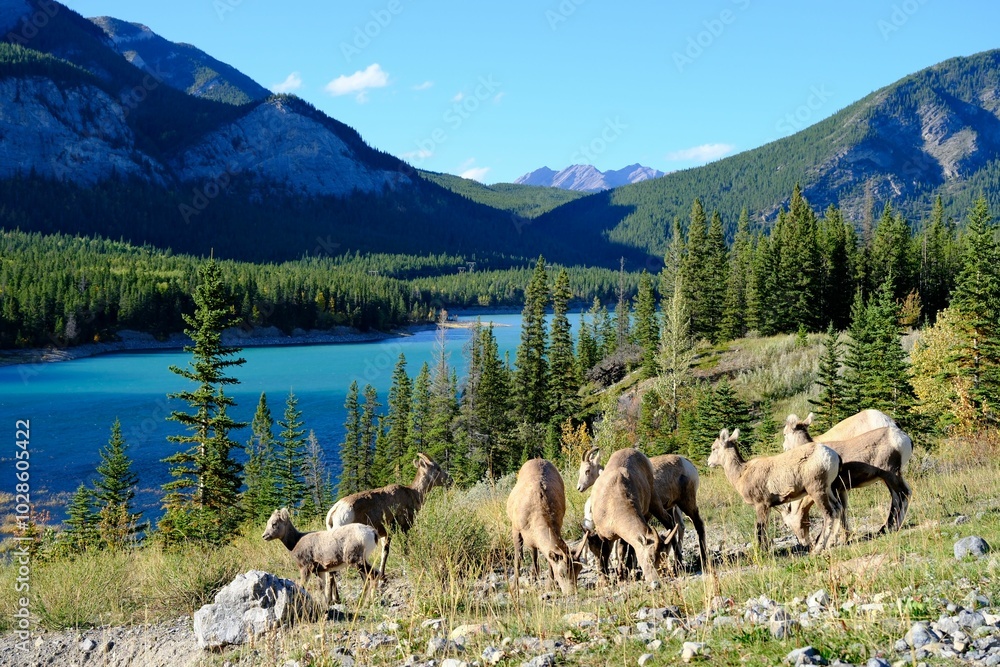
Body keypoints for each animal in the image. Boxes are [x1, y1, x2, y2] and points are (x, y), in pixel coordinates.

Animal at [506, 458, 581, 594]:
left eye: (579, 570)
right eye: (562, 573)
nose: (572, 592)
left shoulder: (557, 525)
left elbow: (548, 558)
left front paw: (550, 585)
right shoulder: (515, 528)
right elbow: (518, 559)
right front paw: (514, 588)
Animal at [589, 448, 677, 586]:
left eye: (663, 555)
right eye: (650, 558)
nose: (656, 582)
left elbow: (623, 549)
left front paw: (623, 574)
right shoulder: (603, 534)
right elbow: (605, 553)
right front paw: (606, 580)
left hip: (653, 499)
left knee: (668, 520)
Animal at [708, 428, 845, 552]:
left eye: (714, 448)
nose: (708, 462)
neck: (741, 473)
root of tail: (833, 455)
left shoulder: (761, 504)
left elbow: (760, 528)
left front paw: (762, 552)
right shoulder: (768, 507)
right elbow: (765, 528)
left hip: (817, 490)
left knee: (828, 514)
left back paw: (817, 549)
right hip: (829, 489)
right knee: (838, 509)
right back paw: (830, 544)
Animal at [781, 412, 913, 544]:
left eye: (785, 434)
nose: (784, 447)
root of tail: (905, 438)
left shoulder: (832, 490)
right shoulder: (842, 490)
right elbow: (843, 510)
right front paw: (844, 538)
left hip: (890, 474)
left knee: (904, 493)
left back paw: (895, 527)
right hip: (891, 476)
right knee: (899, 495)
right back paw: (886, 529)